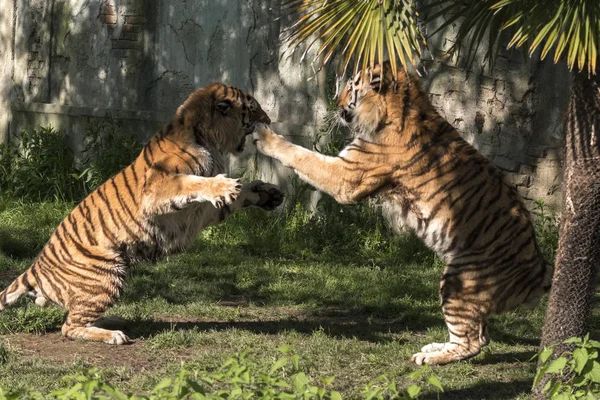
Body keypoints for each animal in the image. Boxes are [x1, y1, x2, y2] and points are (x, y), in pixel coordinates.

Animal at [0, 83, 284, 346]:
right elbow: (194, 183)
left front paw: (269, 194)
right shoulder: (160, 186)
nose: (269, 122)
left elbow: (239, 195)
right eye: (253, 108)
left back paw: (113, 321)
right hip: (106, 273)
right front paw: (225, 185)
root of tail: (36, 267)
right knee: (69, 326)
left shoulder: (202, 211)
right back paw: (113, 334)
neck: (211, 143)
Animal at [252, 61, 552, 366]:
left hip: (459, 281)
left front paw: (264, 136)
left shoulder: (347, 176)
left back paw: (429, 358)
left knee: (472, 342)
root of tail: (539, 268)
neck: (400, 106)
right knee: (479, 335)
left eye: (350, 85)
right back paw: (434, 346)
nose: (336, 103)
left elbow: (302, 156)